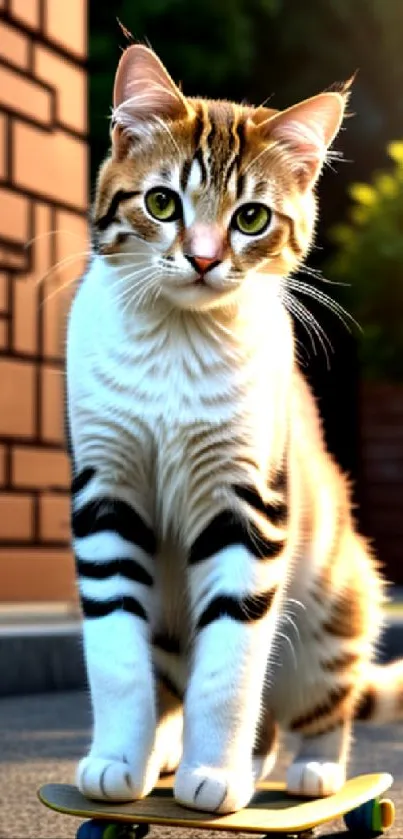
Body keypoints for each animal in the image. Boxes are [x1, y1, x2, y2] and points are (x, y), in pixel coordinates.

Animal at [66, 44, 403, 812]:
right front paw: (116, 761)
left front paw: (215, 775)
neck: (175, 340)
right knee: (178, 688)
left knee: (309, 707)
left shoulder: (248, 505)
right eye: (162, 202)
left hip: (332, 609)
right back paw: (162, 755)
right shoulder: (105, 492)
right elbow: (115, 655)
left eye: (251, 217)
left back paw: (312, 769)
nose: (202, 257)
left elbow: (232, 664)